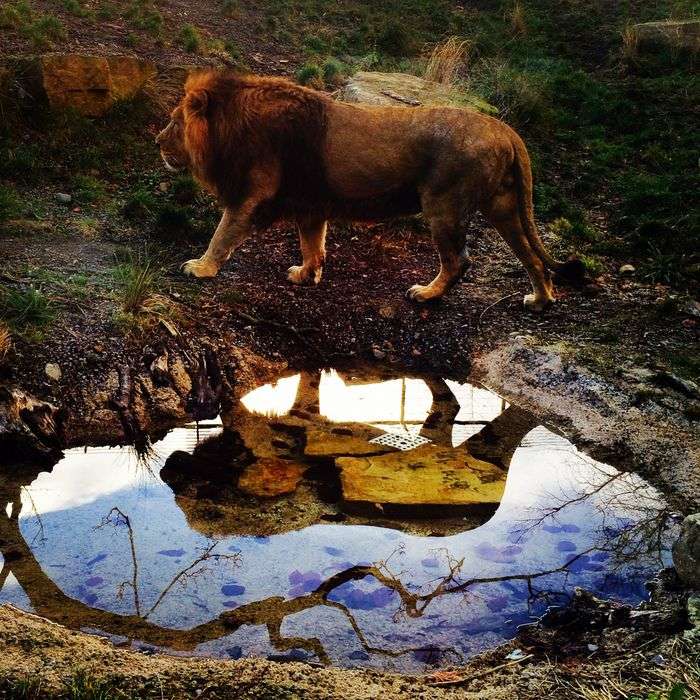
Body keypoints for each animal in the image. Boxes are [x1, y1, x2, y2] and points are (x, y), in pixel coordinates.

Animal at [156, 72, 584, 312]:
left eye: (175, 122)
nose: (158, 141)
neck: (229, 127)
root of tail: (505, 129)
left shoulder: (251, 196)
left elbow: (222, 234)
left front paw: (200, 268)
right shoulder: (311, 205)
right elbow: (314, 245)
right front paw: (306, 275)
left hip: (443, 204)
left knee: (459, 261)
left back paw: (427, 294)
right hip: (503, 207)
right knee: (532, 257)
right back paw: (540, 301)